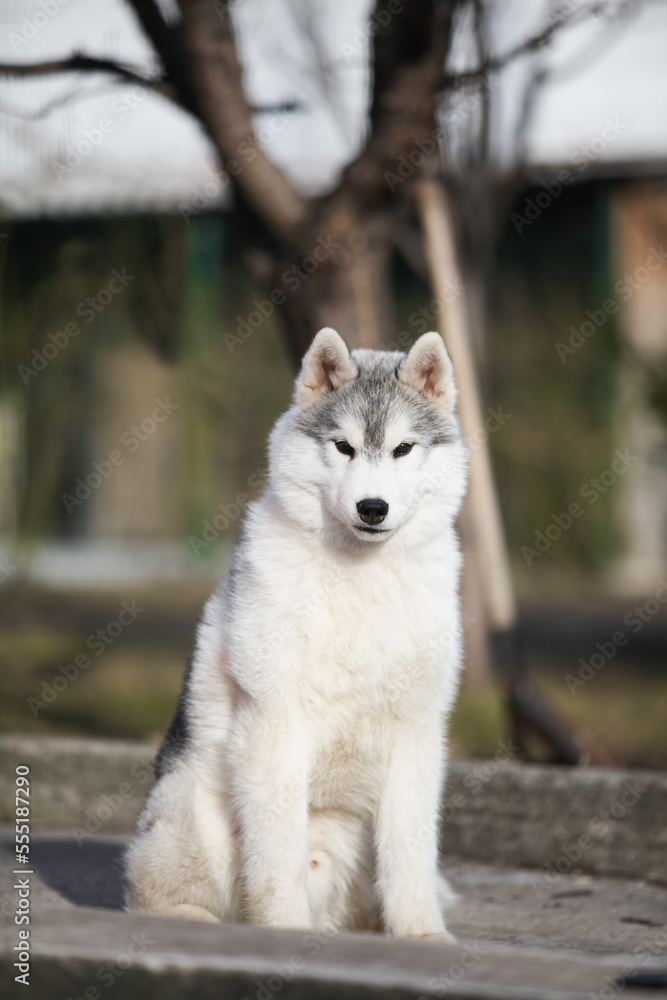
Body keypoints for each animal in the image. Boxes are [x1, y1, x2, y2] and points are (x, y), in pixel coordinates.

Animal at [126, 330, 470, 936]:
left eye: (403, 449)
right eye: (344, 447)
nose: (372, 507)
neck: (359, 577)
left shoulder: (416, 733)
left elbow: (411, 854)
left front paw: (423, 937)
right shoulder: (275, 722)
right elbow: (277, 853)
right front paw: (283, 929)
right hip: (195, 815)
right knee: (153, 896)